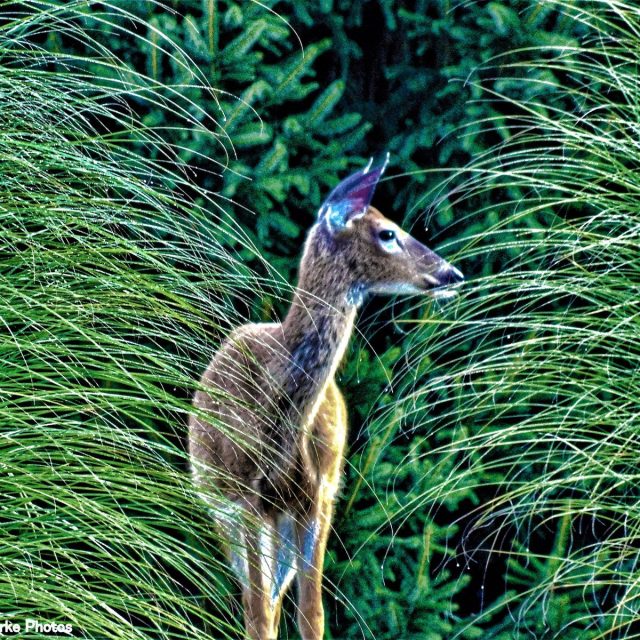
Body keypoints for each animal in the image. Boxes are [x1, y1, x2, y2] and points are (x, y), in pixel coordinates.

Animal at [189, 154, 464, 640]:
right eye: (387, 233)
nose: (452, 273)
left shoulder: (317, 496)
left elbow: (311, 615)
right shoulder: (243, 500)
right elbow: (258, 617)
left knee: (276, 600)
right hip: (222, 510)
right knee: (257, 604)